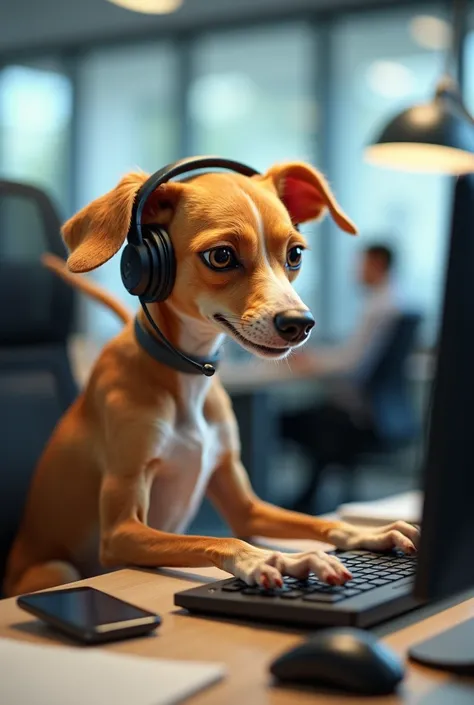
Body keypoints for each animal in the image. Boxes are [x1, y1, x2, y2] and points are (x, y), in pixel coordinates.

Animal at [3, 162, 418, 596]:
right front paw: (273, 559)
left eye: (295, 253)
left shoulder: (247, 507)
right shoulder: (120, 531)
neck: (188, 379)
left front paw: (370, 533)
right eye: (221, 256)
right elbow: (221, 538)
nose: (299, 324)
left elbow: (318, 521)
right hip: (56, 569)